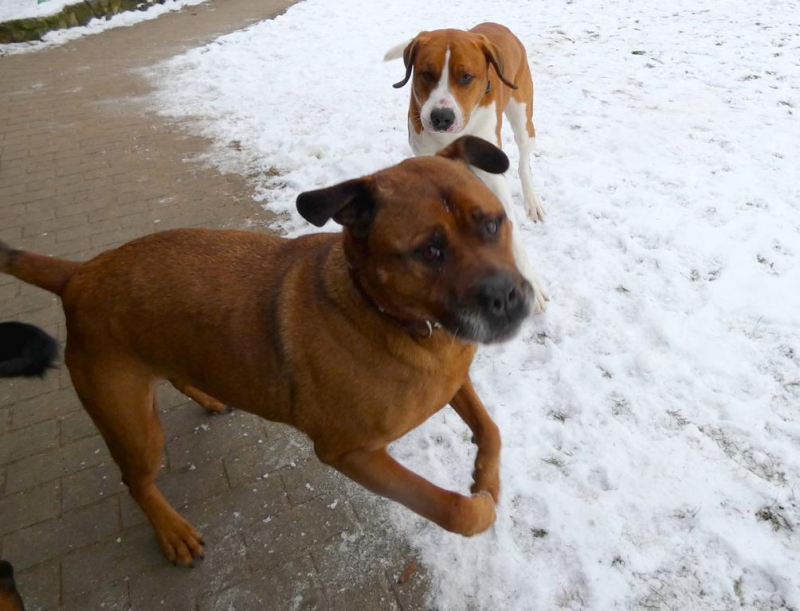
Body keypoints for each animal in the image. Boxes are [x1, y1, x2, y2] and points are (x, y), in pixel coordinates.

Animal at [0, 136, 530, 567]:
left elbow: (492, 429)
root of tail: (79, 275)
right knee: (137, 481)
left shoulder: (454, 378)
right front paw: (480, 506)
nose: (507, 297)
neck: (391, 317)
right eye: (429, 252)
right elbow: (448, 507)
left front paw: (487, 477)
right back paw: (171, 532)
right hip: (132, 426)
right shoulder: (351, 452)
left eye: (492, 224)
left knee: (178, 376)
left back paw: (208, 398)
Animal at [385, 22, 548, 313]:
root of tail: (499, 26)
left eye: (466, 77)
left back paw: (532, 200)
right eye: (426, 74)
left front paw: (531, 283)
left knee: (523, 160)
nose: (441, 117)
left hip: (523, 115)